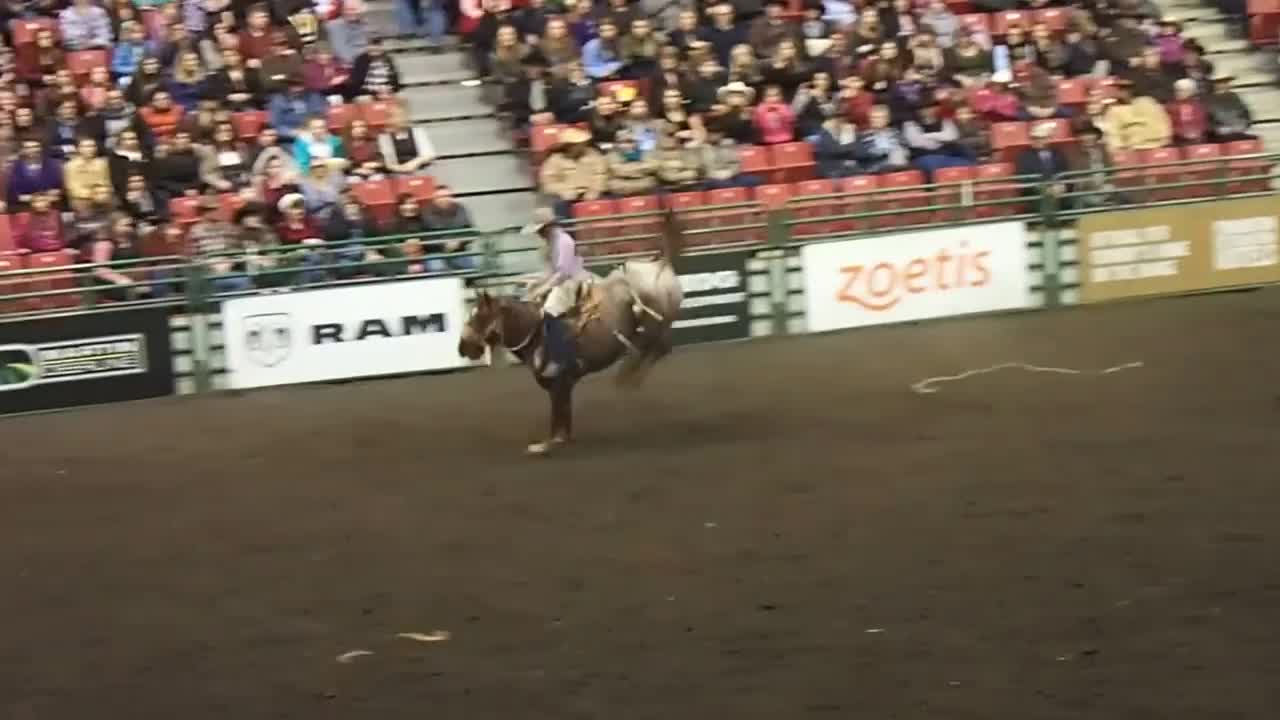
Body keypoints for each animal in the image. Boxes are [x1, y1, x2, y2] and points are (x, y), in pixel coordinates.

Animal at [455, 208, 686, 453]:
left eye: (480, 317)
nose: (463, 347)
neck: (535, 331)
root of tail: (661, 264)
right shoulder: (563, 385)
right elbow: (564, 415)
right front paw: (562, 439)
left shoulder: (559, 381)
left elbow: (558, 415)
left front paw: (546, 445)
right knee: (657, 347)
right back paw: (628, 376)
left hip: (655, 319)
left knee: (656, 347)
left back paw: (626, 377)